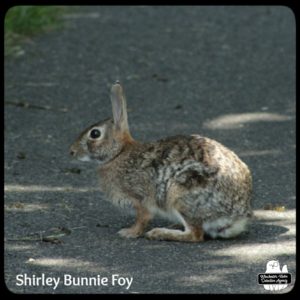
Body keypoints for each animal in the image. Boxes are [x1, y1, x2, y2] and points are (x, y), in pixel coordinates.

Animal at [71, 83, 253, 243]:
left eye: (95, 134)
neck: (118, 153)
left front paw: (129, 233)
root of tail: (236, 215)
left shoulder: (140, 198)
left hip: (180, 194)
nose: (72, 151)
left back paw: (159, 233)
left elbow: (142, 218)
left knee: (195, 234)